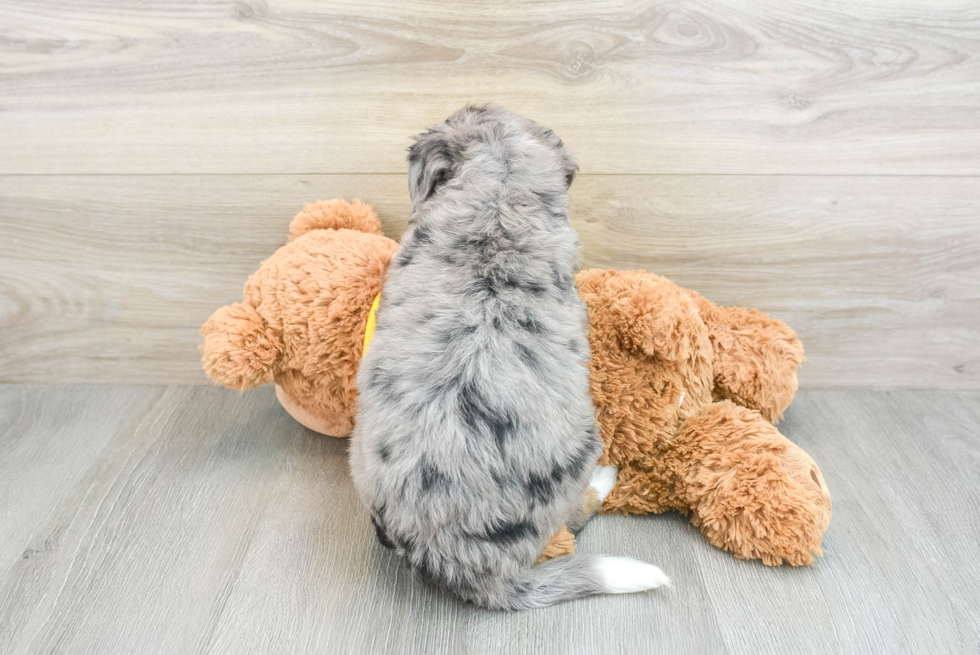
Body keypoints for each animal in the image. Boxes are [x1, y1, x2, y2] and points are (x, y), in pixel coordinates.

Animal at [348, 105, 668, 612]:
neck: (497, 200)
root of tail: (460, 563)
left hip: (358, 456)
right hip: (582, 448)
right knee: (575, 518)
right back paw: (606, 477)